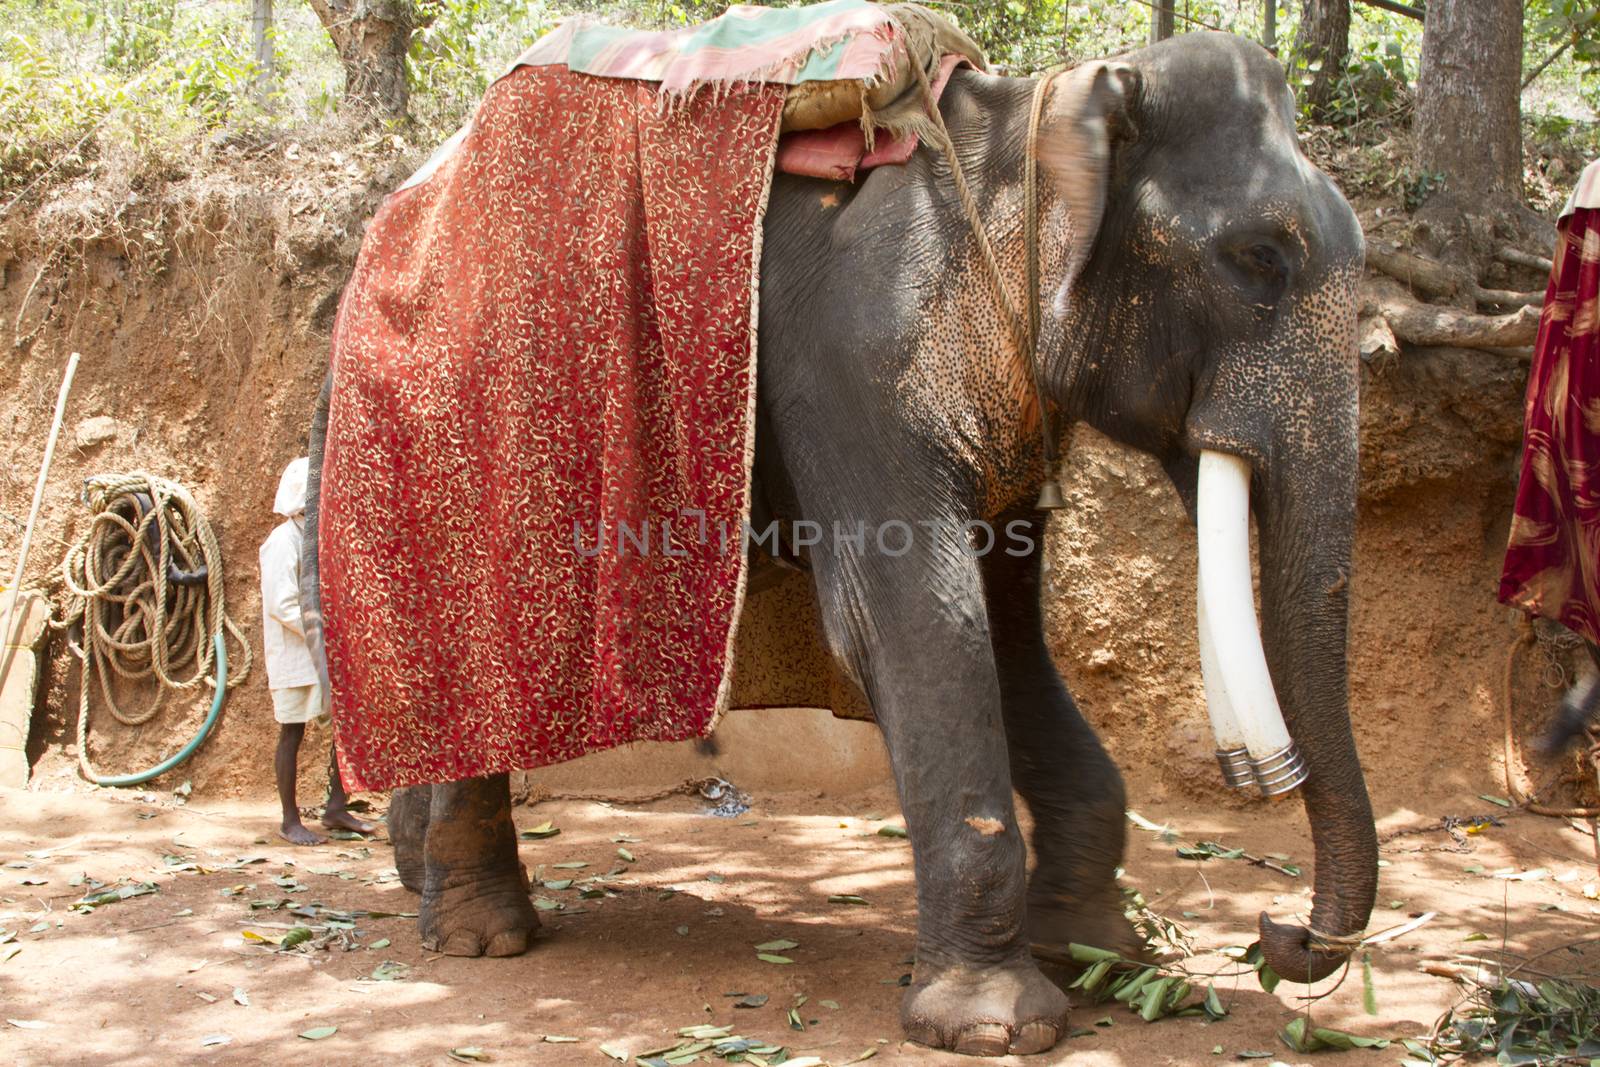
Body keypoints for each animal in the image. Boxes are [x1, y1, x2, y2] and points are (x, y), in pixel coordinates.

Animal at [305, 31, 1382, 1062]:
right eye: (1258, 257)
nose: (1281, 934)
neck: (1029, 120)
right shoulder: (861, 353)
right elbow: (908, 619)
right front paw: (995, 1025)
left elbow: (1004, 633)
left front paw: (1103, 955)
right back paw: (481, 936)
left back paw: (418, 874)